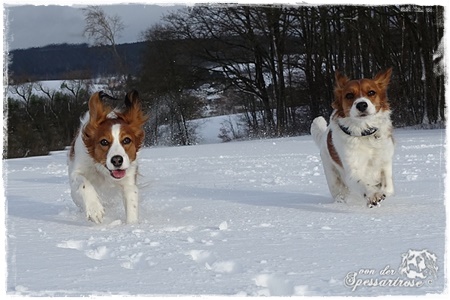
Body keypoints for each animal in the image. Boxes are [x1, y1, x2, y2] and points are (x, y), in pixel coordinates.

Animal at [312, 69, 396, 207]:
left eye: (371, 92)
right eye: (349, 95)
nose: (361, 105)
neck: (364, 132)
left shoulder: (385, 161)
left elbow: (388, 187)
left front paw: (381, 192)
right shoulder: (352, 172)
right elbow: (362, 183)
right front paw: (372, 195)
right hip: (333, 178)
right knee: (340, 194)